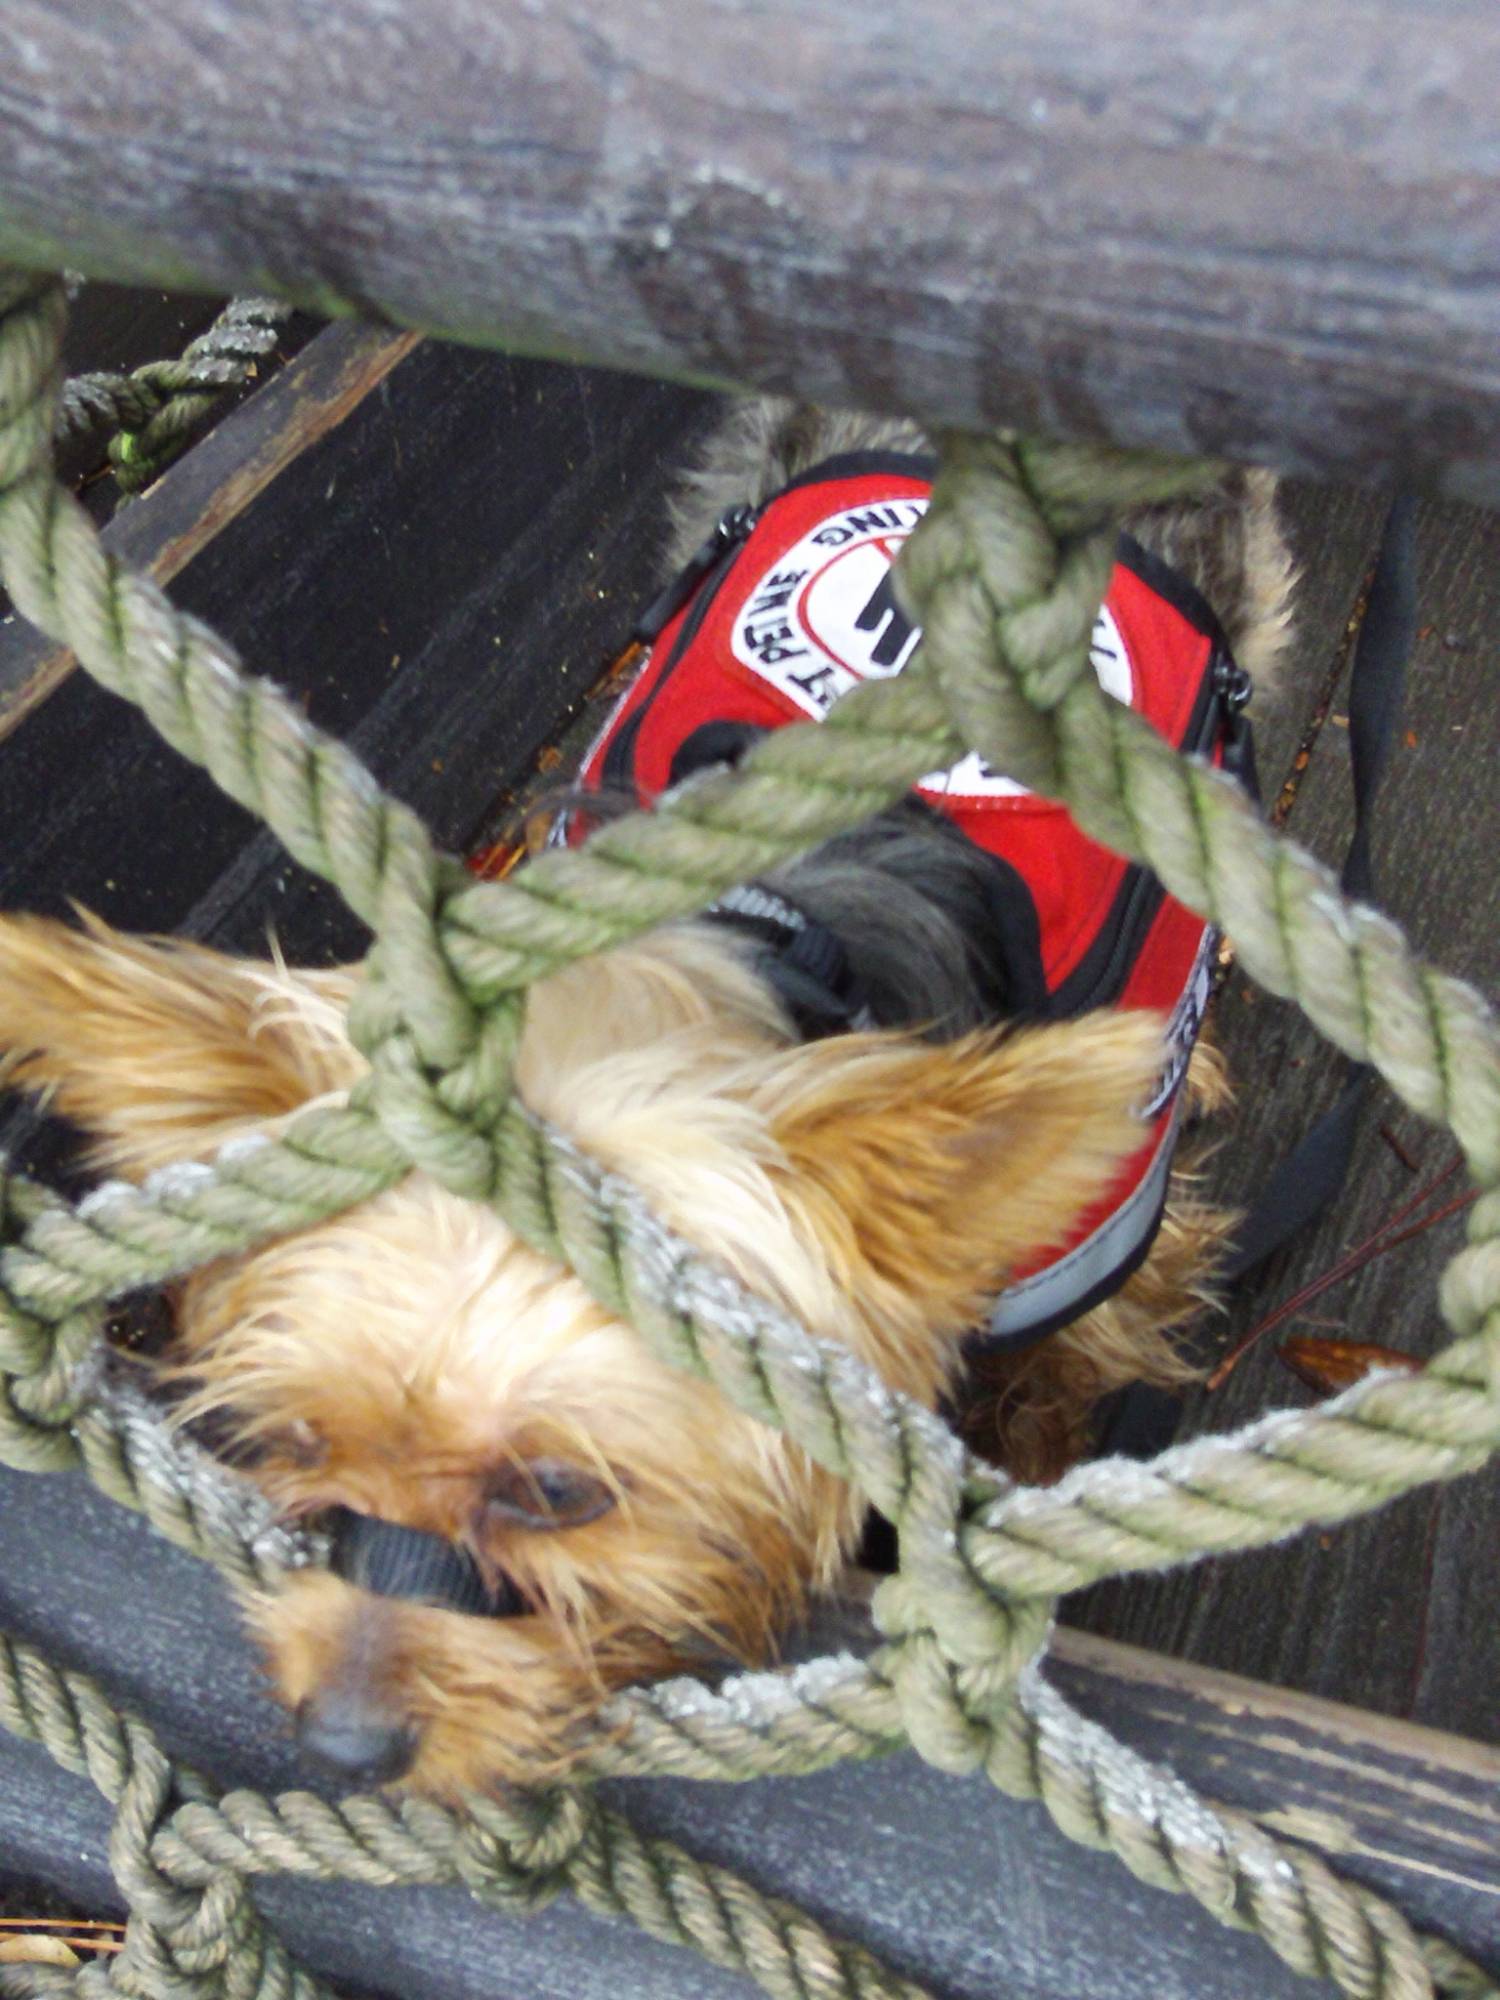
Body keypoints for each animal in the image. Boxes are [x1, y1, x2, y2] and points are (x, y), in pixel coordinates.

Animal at [0, 398, 1296, 1792]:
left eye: (563, 1492)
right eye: (298, 1439)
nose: (345, 1743)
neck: (786, 925)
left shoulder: (1097, 1232)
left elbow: (1064, 1370)